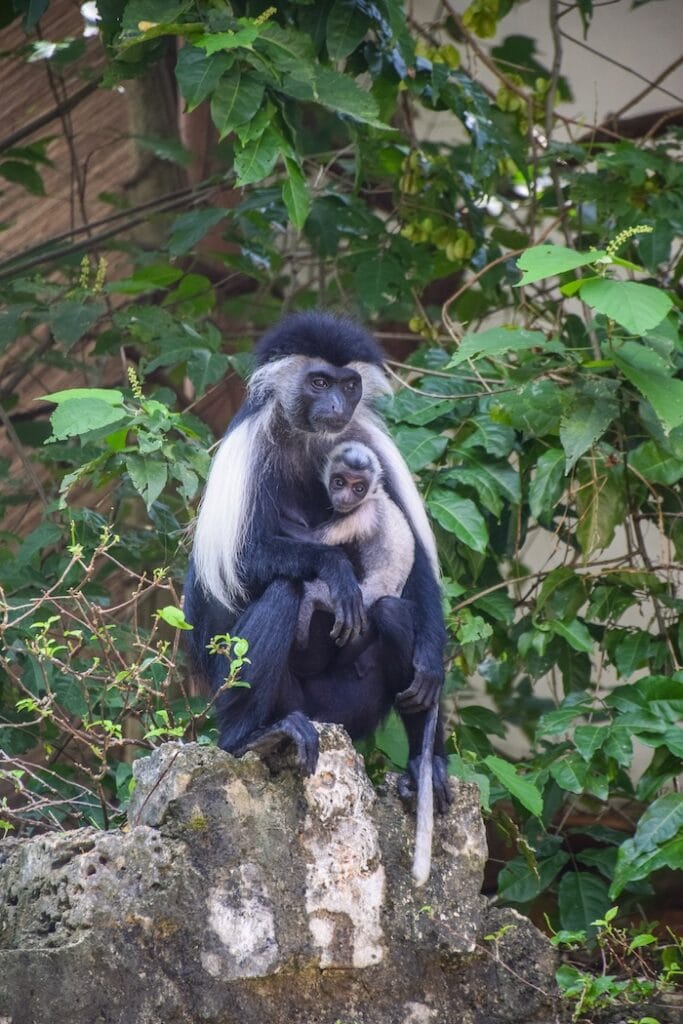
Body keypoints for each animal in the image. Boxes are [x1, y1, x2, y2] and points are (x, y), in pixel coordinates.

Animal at [293, 440, 415, 649]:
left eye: (359, 488)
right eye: (339, 482)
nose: (345, 498)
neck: (375, 496)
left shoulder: (361, 515)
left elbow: (314, 540)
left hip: (365, 600)